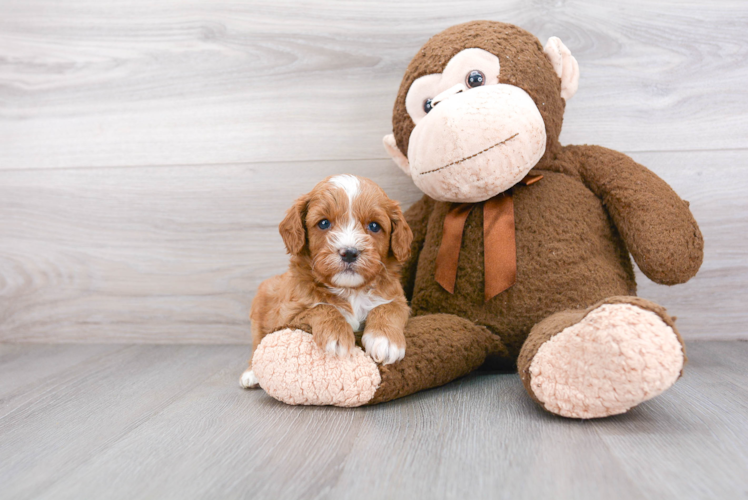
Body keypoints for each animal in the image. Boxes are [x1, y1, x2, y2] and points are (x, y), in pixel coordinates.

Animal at [241, 176, 412, 390]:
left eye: (374, 226)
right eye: (323, 223)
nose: (349, 252)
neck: (350, 290)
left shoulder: (399, 300)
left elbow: (388, 308)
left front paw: (385, 340)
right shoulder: (288, 314)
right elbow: (321, 307)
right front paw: (336, 336)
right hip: (259, 308)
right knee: (257, 341)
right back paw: (250, 374)